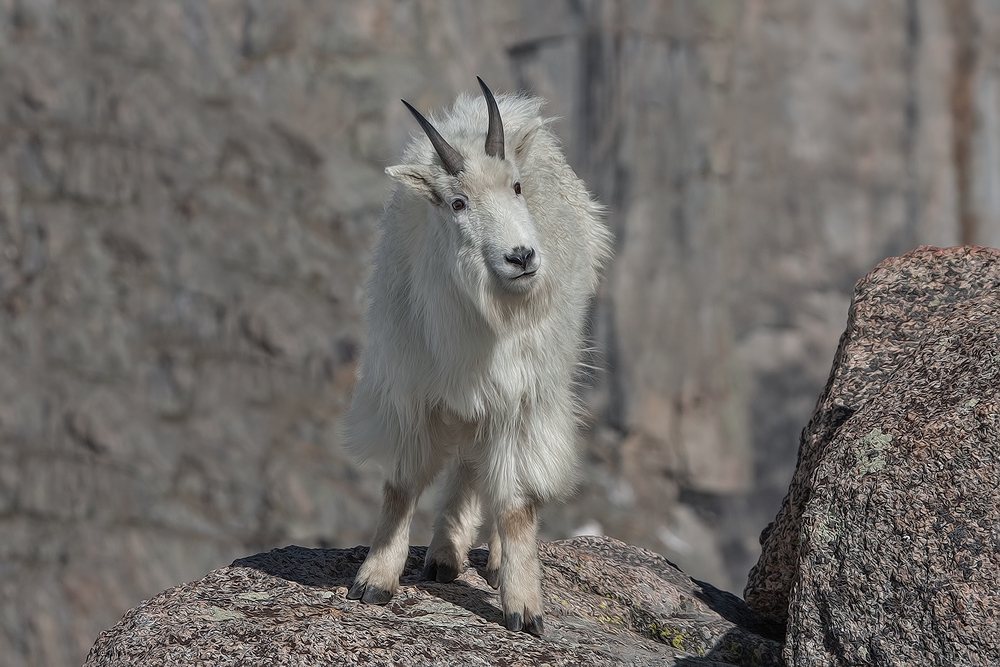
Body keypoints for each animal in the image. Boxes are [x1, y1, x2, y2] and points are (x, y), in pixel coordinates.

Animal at [342, 78, 608, 636]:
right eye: (457, 202)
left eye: (516, 187)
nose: (521, 257)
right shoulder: (410, 394)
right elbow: (400, 487)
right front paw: (374, 580)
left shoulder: (522, 400)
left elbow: (517, 505)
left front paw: (524, 609)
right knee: (467, 460)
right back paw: (445, 554)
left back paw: (495, 561)